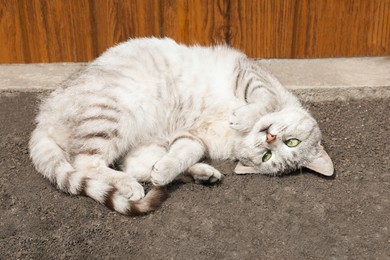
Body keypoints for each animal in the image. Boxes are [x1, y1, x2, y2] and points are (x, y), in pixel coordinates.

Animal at [29, 36, 334, 215]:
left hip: (141, 140)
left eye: (267, 157)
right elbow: (265, 100)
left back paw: (199, 174)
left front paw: (168, 170)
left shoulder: (195, 137)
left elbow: (183, 153)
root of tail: (43, 117)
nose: (269, 138)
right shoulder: (249, 75)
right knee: (88, 164)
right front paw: (244, 115)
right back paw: (134, 185)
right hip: (111, 115)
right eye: (291, 142)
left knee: (136, 168)